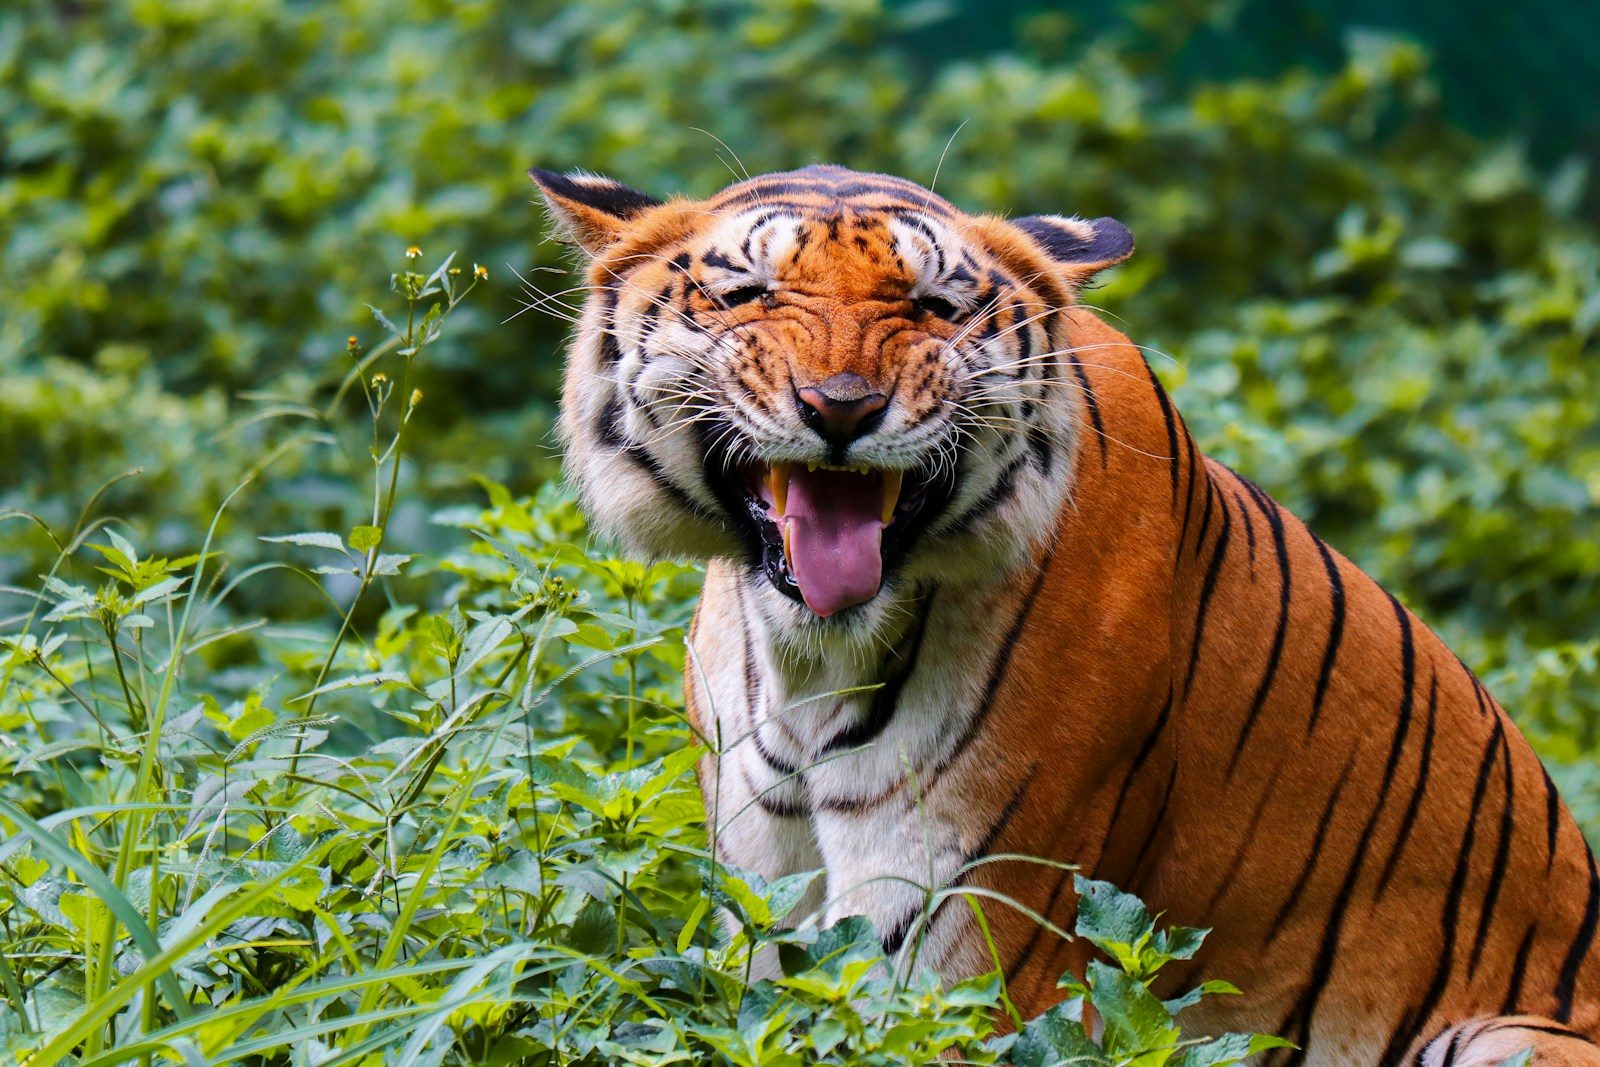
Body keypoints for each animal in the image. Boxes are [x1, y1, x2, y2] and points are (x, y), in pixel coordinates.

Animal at [528, 162, 1600, 1064]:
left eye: (935, 307)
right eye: (748, 293)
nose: (841, 408)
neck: (810, 661)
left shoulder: (969, 915)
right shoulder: (761, 903)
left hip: (1498, 1033)